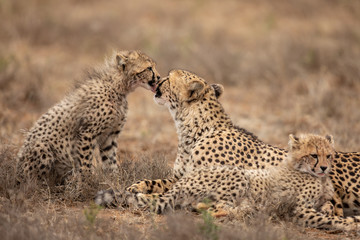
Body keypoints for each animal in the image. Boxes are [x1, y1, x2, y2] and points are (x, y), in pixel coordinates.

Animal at [16, 49, 160, 185]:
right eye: (149, 68)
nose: (158, 77)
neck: (118, 87)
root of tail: (15, 175)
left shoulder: (109, 136)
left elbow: (111, 160)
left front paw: (115, 180)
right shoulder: (87, 133)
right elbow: (85, 163)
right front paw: (87, 184)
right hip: (41, 146)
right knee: (32, 182)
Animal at [97, 69, 360, 216]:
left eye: (170, 77)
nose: (158, 78)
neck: (194, 130)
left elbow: (166, 194)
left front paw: (130, 196)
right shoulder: (182, 177)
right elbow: (154, 181)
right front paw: (135, 187)